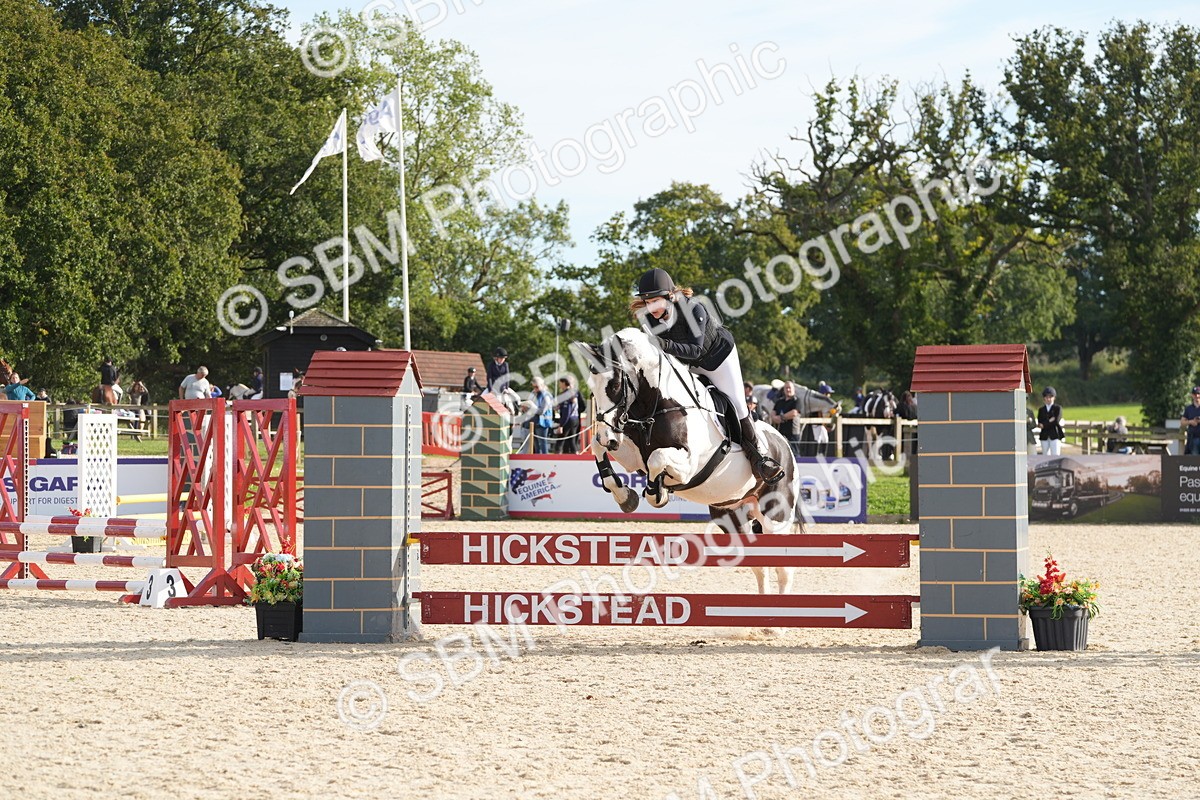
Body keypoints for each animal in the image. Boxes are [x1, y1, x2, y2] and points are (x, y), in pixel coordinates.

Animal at [572, 328, 800, 595]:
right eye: (591, 387)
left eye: (616, 384)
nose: (607, 437)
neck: (657, 405)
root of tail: (786, 445)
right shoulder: (631, 453)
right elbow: (604, 451)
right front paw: (625, 496)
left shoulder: (689, 465)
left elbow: (657, 459)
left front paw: (657, 493)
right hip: (732, 515)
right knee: (760, 565)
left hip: (777, 515)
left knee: (783, 569)